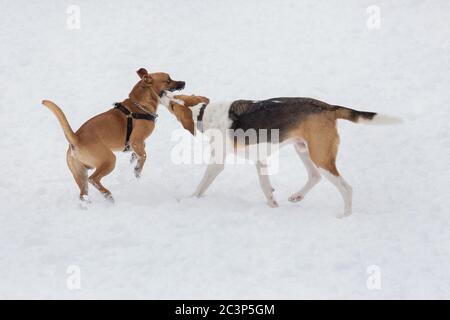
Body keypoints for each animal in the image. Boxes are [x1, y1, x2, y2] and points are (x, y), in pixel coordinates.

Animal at [40, 68, 185, 202]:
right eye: (168, 80)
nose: (184, 82)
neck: (139, 105)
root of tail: (76, 139)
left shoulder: (136, 143)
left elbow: (139, 152)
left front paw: (133, 158)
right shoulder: (136, 140)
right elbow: (143, 156)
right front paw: (137, 170)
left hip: (81, 173)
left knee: (83, 194)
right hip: (109, 160)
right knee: (94, 179)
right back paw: (108, 195)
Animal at [162, 92, 400, 218]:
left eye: (173, 104)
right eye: (176, 97)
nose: (163, 93)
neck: (203, 113)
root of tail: (328, 107)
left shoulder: (217, 163)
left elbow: (200, 186)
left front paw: (188, 200)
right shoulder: (260, 161)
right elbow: (266, 187)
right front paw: (272, 206)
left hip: (320, 156)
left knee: (346, 187)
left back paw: (345, 215)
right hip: (303, 149)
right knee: (314, 177)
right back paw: (297, 197)